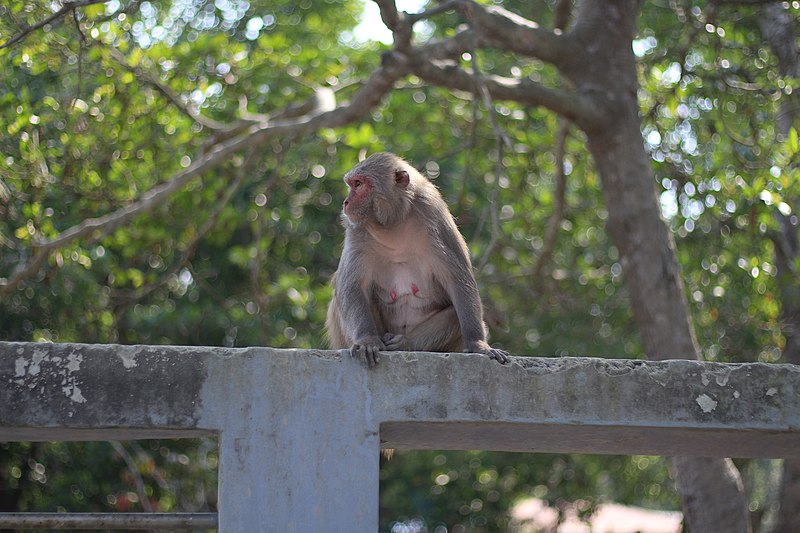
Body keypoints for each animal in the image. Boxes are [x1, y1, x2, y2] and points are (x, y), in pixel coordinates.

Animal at [326, 150, 510, 366]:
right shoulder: (355, 231)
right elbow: (351, 285)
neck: (392, 224)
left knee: (455, 315)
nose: (345, 202)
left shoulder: (435, 216)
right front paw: (367, 340)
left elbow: (458, 281)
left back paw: (404, 343)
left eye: (358, 184)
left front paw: (478, 345)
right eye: (351, 184)